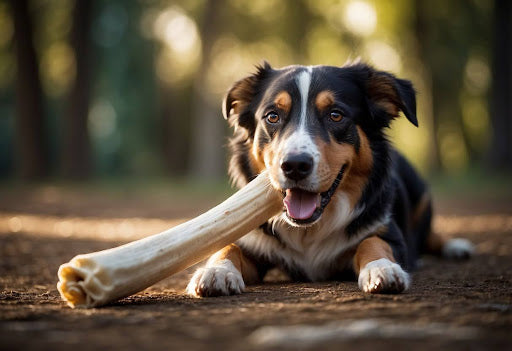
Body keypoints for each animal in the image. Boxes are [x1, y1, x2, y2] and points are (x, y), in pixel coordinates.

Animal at [186, 61, 474, 296]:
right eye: (272, 116)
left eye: (336, 115)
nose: (294, 166)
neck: (309, 230)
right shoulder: (254, 240)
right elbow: (227, 247)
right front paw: (217, 271)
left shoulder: (388, 232)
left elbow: (373, 242)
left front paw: (382, 269)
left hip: (422, 196)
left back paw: (457, 246)